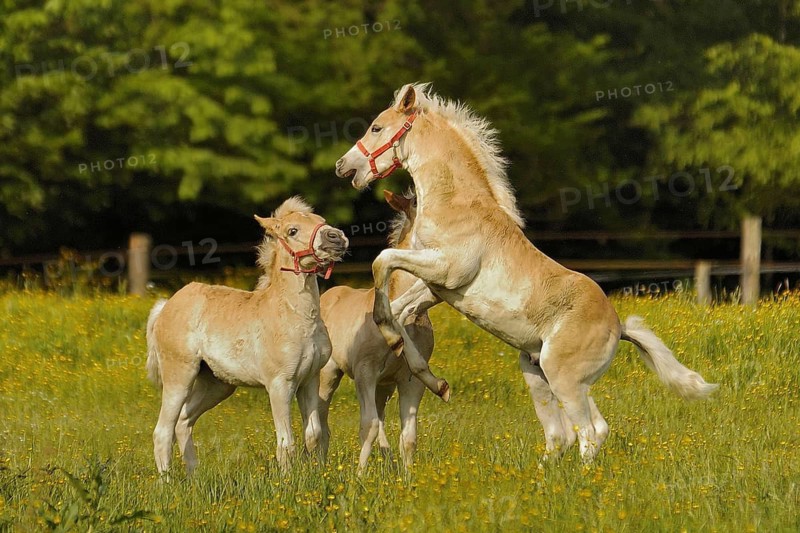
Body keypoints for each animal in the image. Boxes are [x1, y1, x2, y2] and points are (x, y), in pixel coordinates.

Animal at [145, 197, 348, 475]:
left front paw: (315, 474)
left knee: (183, 422)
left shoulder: (309, 380)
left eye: (321, 221)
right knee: (162, 431)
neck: (295, 317)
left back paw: (193, 477)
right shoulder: (280, 383)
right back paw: (168, 481)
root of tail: (165, 307)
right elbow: (286, 441)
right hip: (180, 375)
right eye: (292, 231)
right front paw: (288, 480)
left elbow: (314, 435)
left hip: (217, 384)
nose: (336, 238)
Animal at [318, 189, 433, 470]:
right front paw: (360, 474)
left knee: (380, 418)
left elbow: (408, 437)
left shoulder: (411, 380)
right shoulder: (365, 373)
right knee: (321, 420)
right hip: (330, 374)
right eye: (417, 202)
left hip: (384, 386)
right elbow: (367, 427)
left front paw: (408, 475)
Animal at [334, 83, 718, 463]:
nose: (343, 166)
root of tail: (619, 328)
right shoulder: (435, 287)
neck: (456, 202)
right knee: (572, 432)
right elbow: (400, 313)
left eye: (376, 128)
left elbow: (382, 262)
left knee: (588, 433)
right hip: (542, 374)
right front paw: (430, 376)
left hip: (563, 377)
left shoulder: (445, 269)